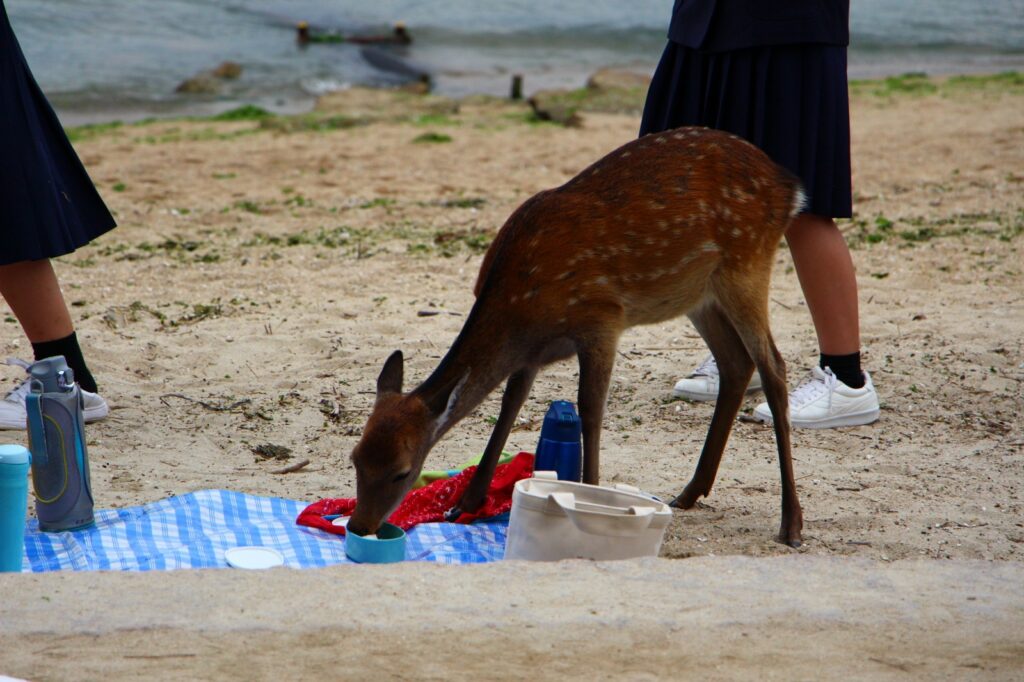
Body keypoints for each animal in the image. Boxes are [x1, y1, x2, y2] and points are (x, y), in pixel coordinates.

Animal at [348, 125, 802, 540]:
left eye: (401, 472)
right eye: (355, 459)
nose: (359, 525)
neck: (522, 304)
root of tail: (790, 187)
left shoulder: (602, 320)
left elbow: (590, 410)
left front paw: (591, 495)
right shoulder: (531, 353)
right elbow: (509, 406)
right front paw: (466, 504)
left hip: (746, 263)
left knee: (774, 367)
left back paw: (790, 523)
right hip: (699, 295)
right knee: (736, 363)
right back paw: (690, 493)